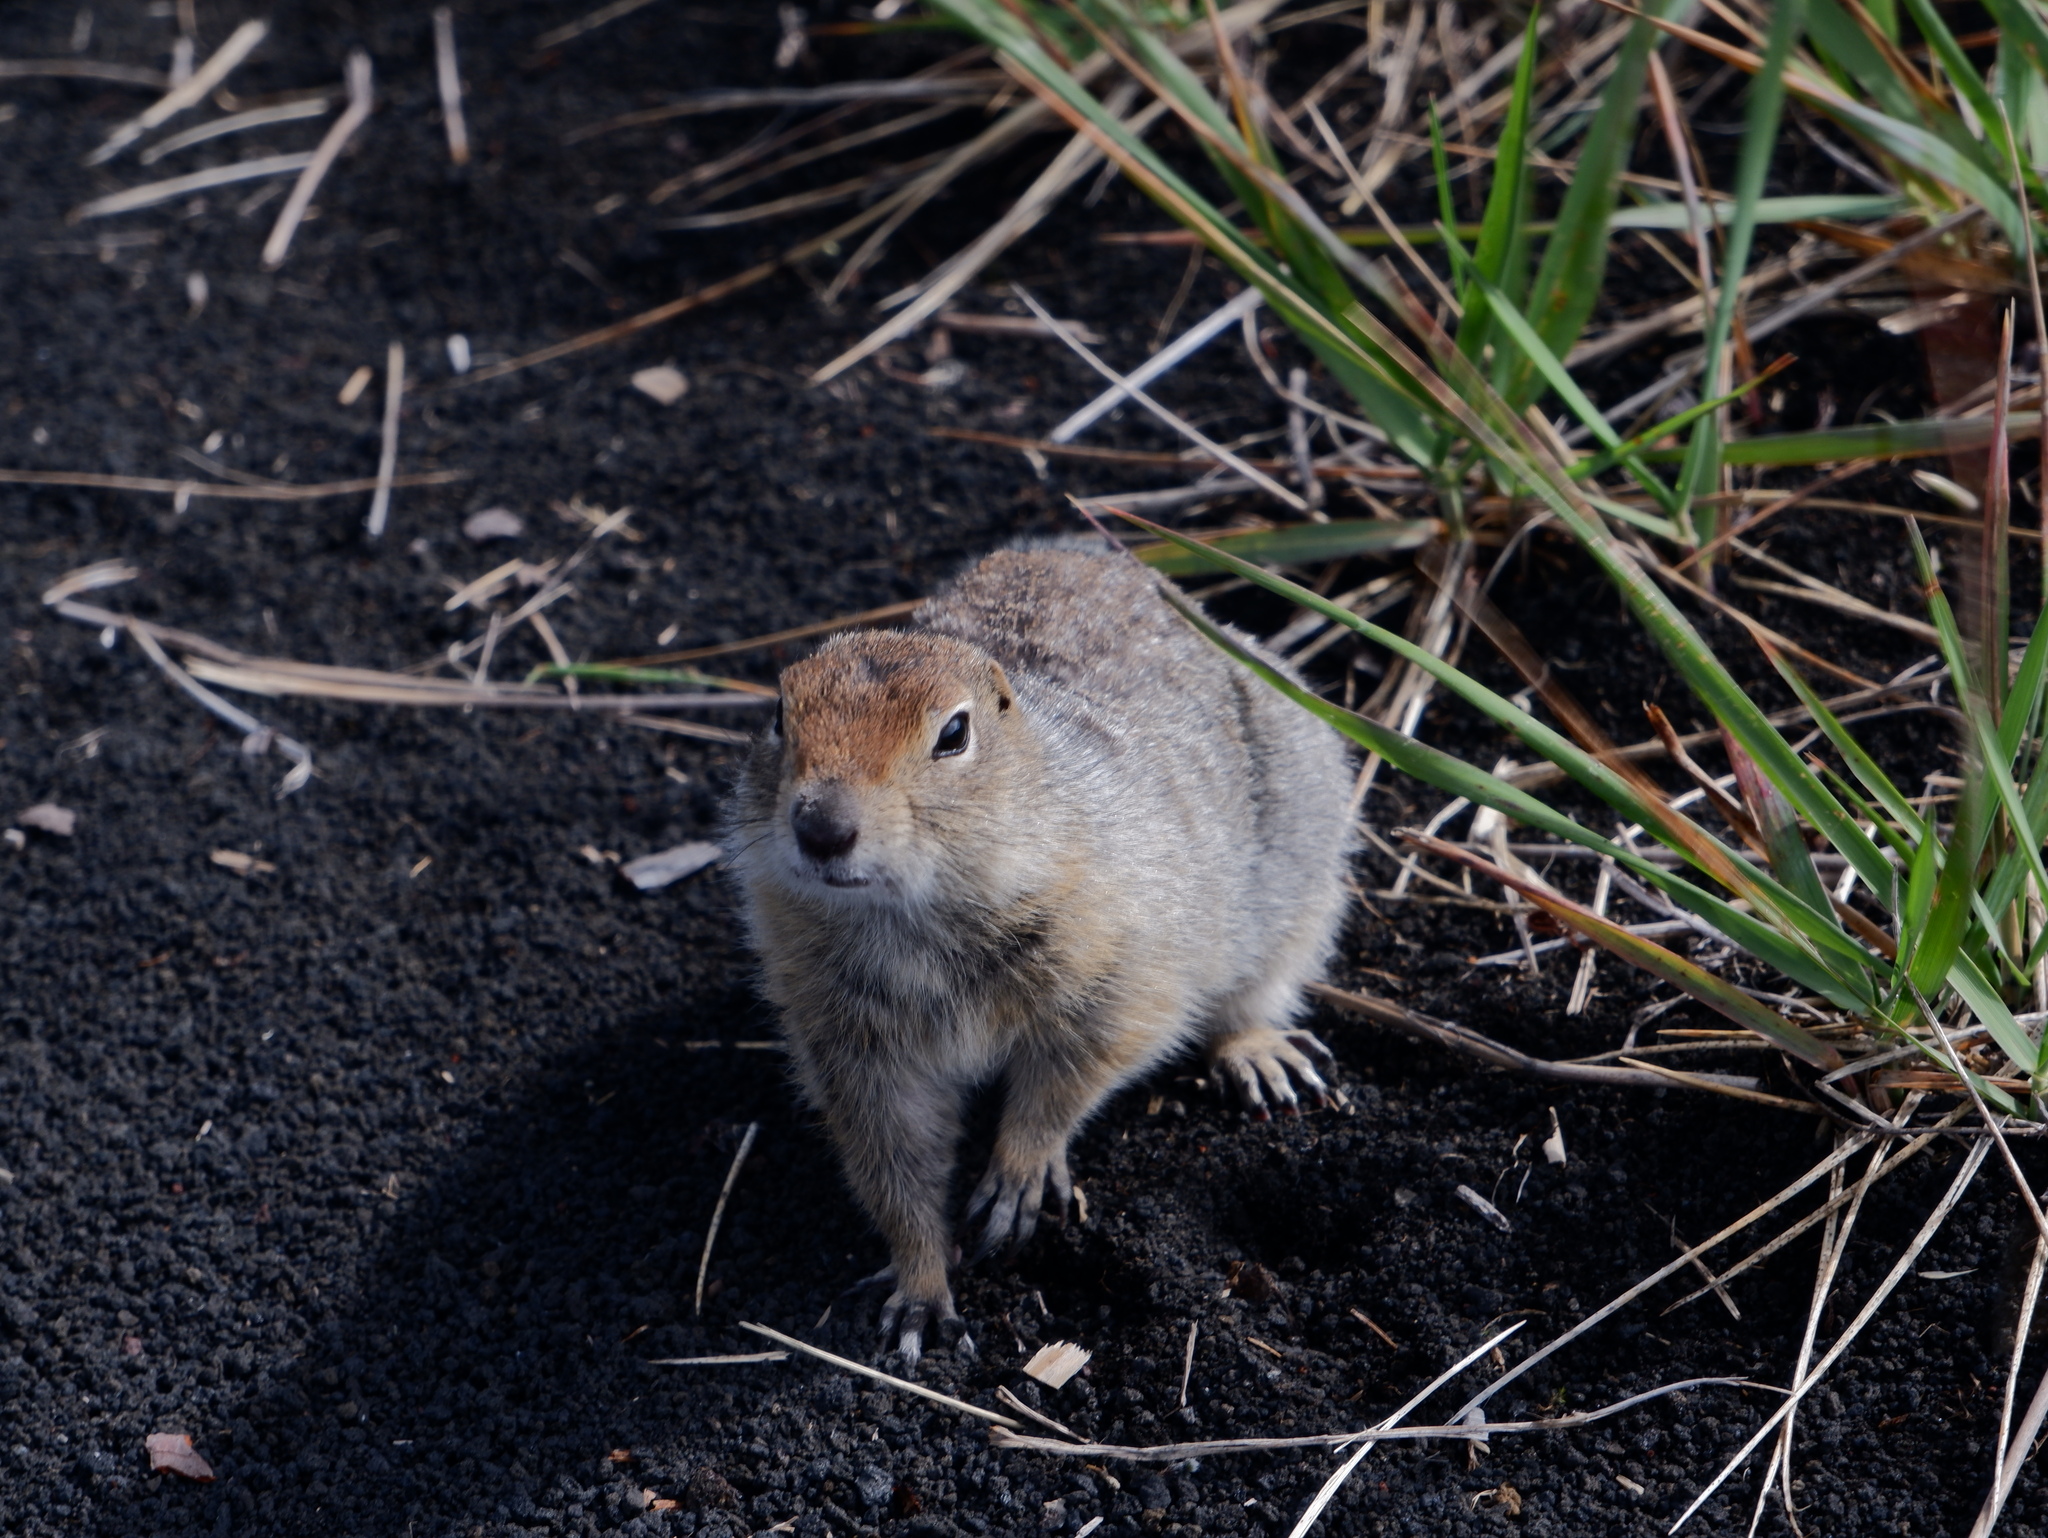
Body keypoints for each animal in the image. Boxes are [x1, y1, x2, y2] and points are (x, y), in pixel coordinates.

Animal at [729, 540, 1351, 1359]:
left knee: (1254, 997)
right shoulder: (849, 1041)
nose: (821, 827)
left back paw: (1261, 1058)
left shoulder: (1119, 968)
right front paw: (920, 1290)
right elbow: (894, 1161)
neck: (911, 915)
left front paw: (1015, 1179)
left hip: (1302, 894)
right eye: (777, 714)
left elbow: (1072, 1075)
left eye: (953, 734)